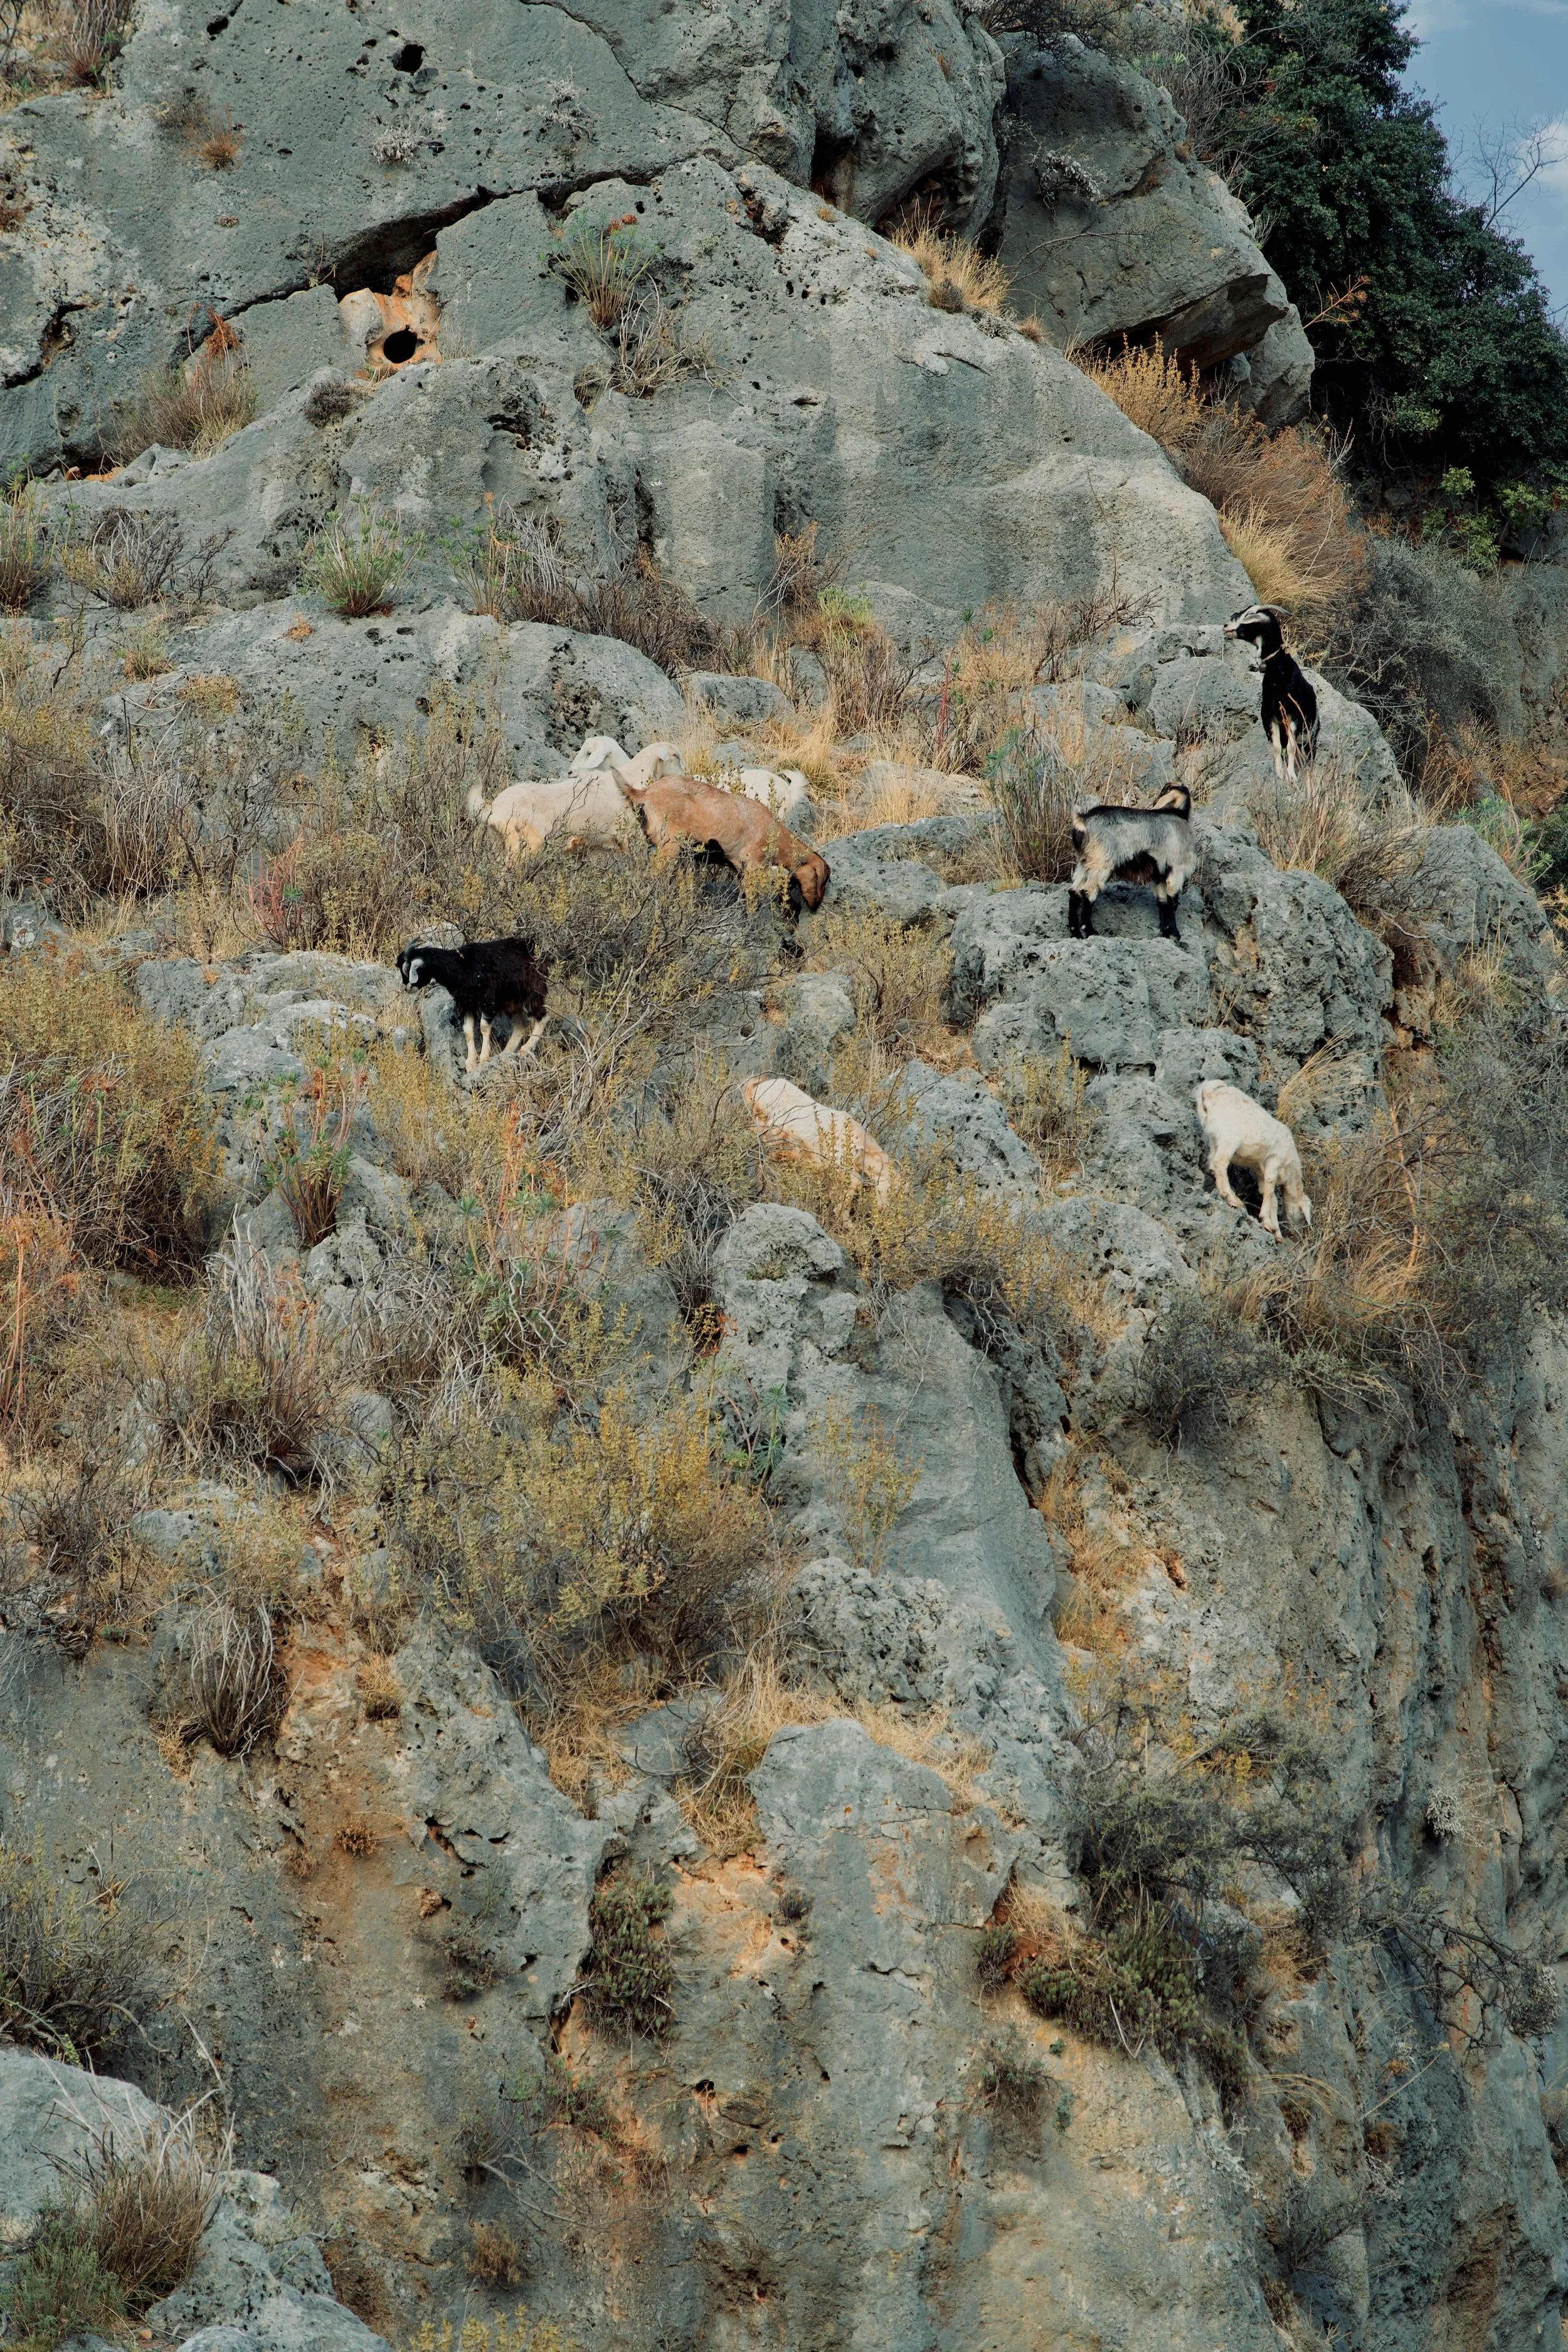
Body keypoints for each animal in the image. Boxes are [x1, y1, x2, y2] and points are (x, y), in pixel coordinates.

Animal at [396, 936, 549, 1076]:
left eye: (407, 970)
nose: (406, 988)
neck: (462, 966)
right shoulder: (466, 1005)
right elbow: (468, 1032)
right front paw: (470, 1063)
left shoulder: (488, 1002)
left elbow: (484, 1028)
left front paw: (484, 1058)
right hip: (512, 1001)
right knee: (521, 1025)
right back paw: (506, 1052)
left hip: (531, 994)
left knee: (544, 1017)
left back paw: (526, 1048)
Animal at [621, 772, 830, 908]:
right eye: (822, 880)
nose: (816, 905)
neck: (775, 835)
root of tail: (643, 793)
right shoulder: (754, 865)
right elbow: (751, 900)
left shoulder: (739, 869)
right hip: (670, 845)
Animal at [1068, 782, 1193, 940]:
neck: (1180, 816)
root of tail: (1083, 819)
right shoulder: (1176, 870)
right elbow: (1173, 901)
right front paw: (1175, 935)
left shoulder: (1159, 875)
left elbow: (1163, 902)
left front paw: (1165, 933)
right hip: (1101, 863)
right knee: (1087, 891)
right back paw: (1090, 931)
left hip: (1085, 863)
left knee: (1074, 891)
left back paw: (1076, 933)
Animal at [1194, 1079, 1312, 1240]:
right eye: (1302, 1216)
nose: (1297, 1235)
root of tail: (1209, 1093)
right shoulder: (1274, 1161)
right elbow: (1270, 1189)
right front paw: (1267, 1222)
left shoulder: (1261, 1172)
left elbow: (1271, 1197)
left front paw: (1276, 1233)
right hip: (1229, 1138)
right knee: (1220, 1164)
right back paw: (1232, 1199)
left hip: (1214, 1138)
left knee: (1212, 1164)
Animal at [1224, 604, 1319, 781]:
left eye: (1247, 620)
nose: (1226, 627)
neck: (1279, 672)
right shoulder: (1270, 716)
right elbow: (1277, 747)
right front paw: (1280, 773)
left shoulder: (1293, 717)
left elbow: (1290, 748)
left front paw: (1292, 776)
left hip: (1310, 736)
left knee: (1307, 755)